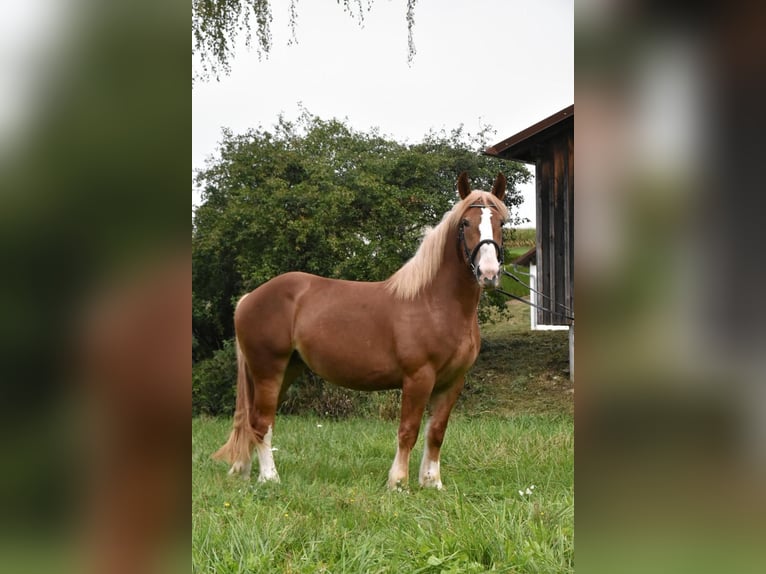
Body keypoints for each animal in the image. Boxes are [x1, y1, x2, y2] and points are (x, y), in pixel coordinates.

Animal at [213, 172, 509, 489]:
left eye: (501, 223)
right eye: (465, 223)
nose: (488, 274)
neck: (434, 303)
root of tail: (248, 298)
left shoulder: (451, 382)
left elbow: (436, 432)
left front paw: (432, 483)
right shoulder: (418, 378)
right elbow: (409, 430)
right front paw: (398, 483)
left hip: (285, 370)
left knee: (252, 420)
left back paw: (243, 472)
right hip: (268, 369)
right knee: (262, 422)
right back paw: (269, 477)